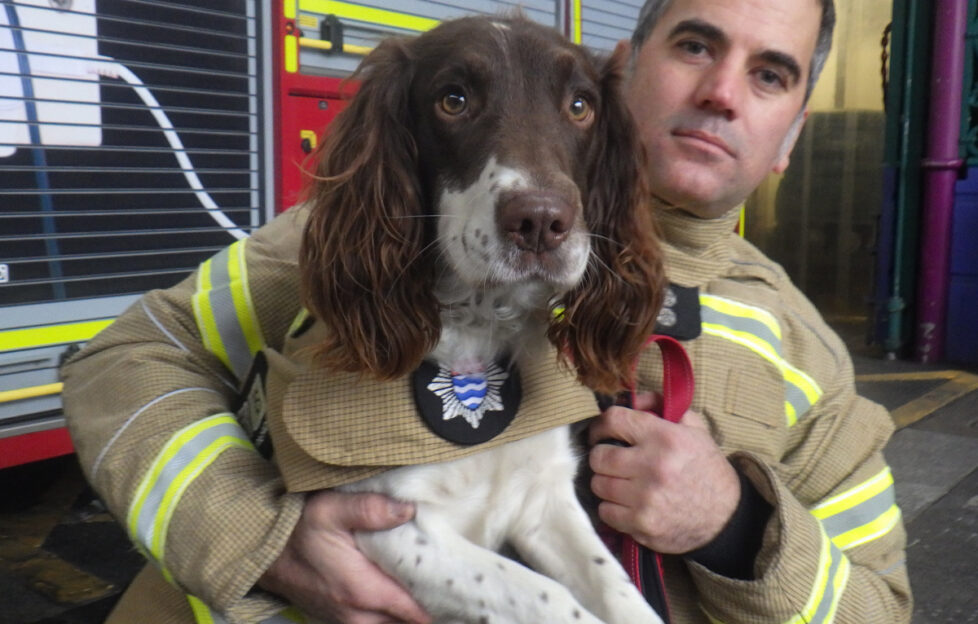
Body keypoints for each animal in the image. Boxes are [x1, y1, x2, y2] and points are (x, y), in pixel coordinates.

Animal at [298, 13, 664, 624]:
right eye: (454, 99)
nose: (540, 221)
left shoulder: (544, 498)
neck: (477, 328)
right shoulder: (393, 524)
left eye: (580, 106)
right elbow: (549, 598)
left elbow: (618, 594)